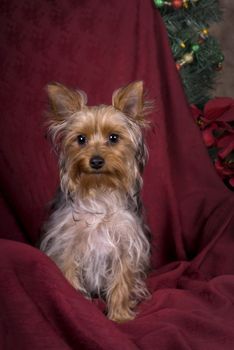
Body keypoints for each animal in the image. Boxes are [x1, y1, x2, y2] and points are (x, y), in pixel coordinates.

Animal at [39, 82, 151, 322]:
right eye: (81, 139)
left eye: (114, 138)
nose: (97, 161)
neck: (99, 190)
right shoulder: (66, 244)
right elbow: (67, 276)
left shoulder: (126, 245)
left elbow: (122, 281)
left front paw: (119, 315)